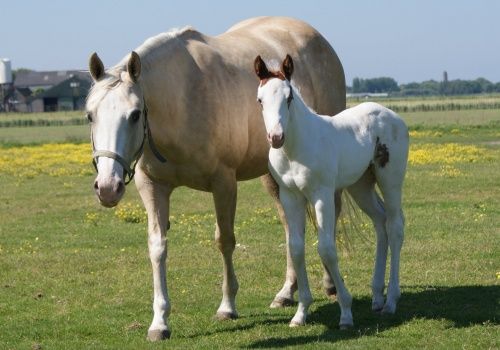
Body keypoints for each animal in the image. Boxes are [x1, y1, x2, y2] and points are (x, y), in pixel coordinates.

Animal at [84, 16, 346, 340]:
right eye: (90, 115)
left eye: (134, 115)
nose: (108, 187)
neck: (183, 98)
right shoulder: (152, 187)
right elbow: (157, 247)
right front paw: (159, 322)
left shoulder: (223, 184)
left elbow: (225, 241)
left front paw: (227, 306)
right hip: (274, 178)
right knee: (289, 227)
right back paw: (286, 292)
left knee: (330, 219)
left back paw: (330, 284)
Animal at [256, 54, 408, 328]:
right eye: (260, 100)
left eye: (289, 97)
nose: (276, 137)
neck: (296, 149)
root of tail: (392, 115)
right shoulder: (290, 196)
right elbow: (296, 248)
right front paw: (300, 313)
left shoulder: (322, 195)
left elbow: (326, 248)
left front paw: (346, 312)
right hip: (361, 185)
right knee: (380, 222)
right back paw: (377, 296)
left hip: (390, 179)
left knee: (395, 226)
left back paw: (391, 301)